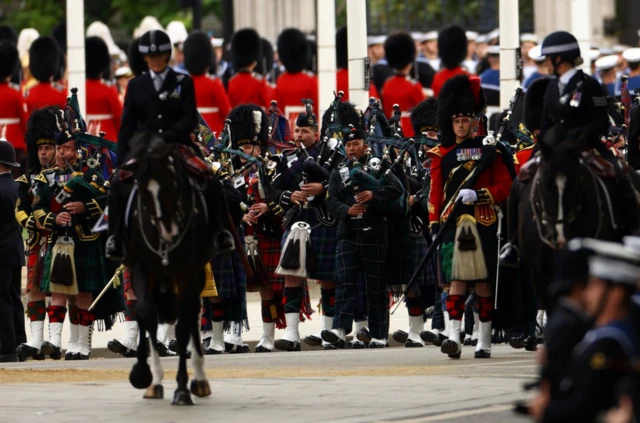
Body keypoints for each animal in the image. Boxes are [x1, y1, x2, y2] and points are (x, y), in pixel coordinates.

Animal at [120, 134, 218, 406]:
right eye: (140, 188)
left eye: (171, 182)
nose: (168, 232)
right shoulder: (142, 270)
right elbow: (145, 315)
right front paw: (146, 376)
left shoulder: (186, 274)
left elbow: (184, 326)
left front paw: (183, 388)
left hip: (196, 274)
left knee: (192, 315)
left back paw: (200, 379)